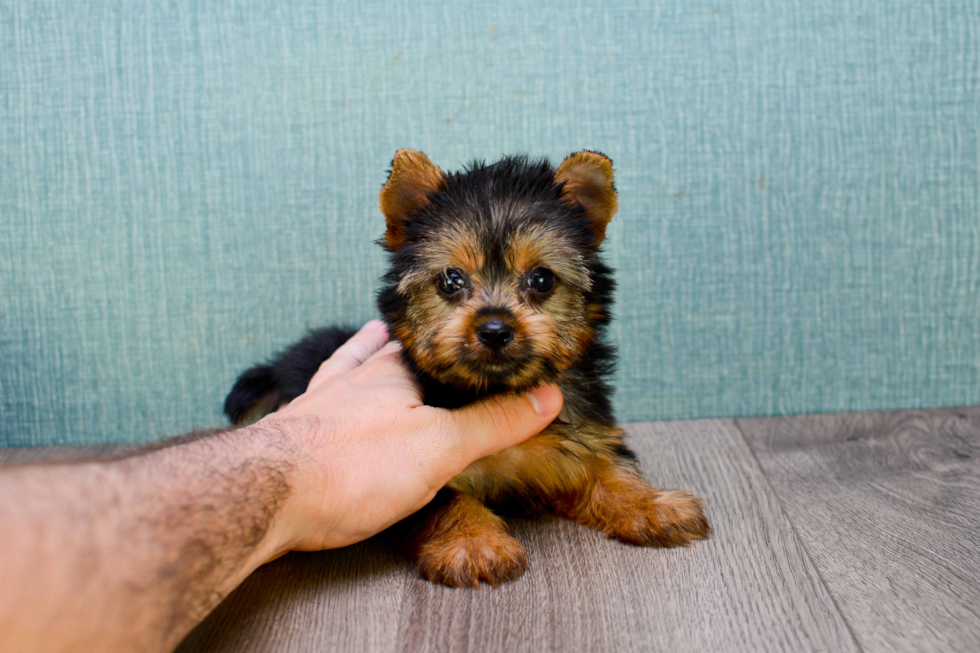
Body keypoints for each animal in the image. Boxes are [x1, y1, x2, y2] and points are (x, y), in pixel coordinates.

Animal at [226, 150, 708, 588]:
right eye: (451, 280)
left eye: (541, 279)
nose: (494, 328)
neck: (495, 388)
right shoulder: (423, 467)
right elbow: (447, 501)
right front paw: (473, 543)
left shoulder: (585, 433)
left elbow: (609, 468)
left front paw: (650, 504)